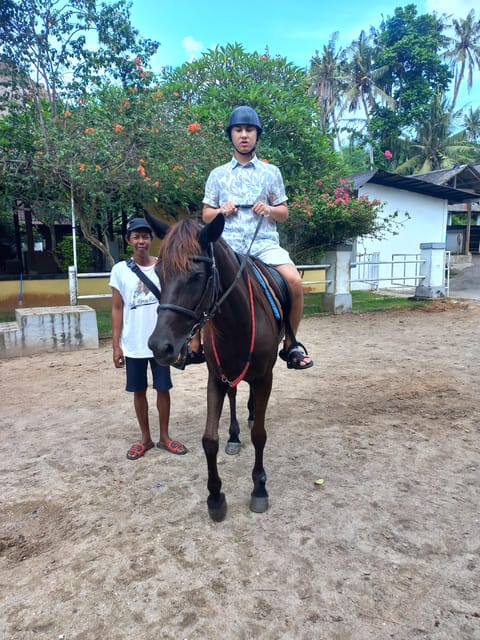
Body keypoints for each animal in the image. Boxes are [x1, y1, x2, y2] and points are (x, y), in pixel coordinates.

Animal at [145, 212, 284, 521]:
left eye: (197, 276)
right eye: (158, 273)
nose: (160, 347)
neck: (236, 323)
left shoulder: (264, 378)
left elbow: (260, 435)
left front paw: (259, 488)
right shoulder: (216, 378)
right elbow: (209, 439)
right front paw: (215, 497)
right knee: (234, 397)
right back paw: (234, 435)